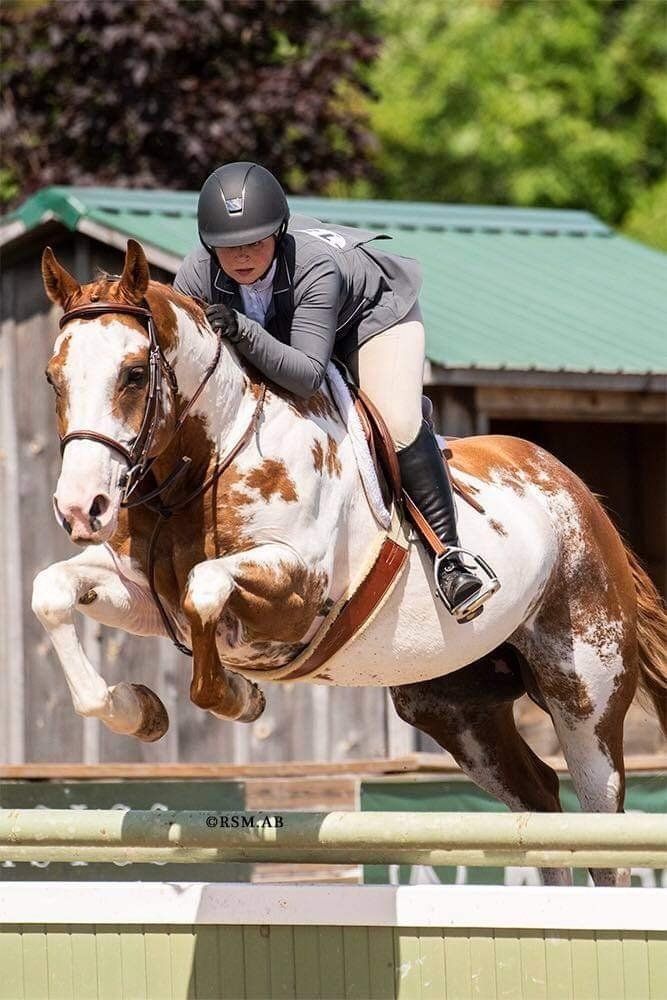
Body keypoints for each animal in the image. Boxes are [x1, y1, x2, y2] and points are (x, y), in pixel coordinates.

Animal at [34, 239, 666, 887]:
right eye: (53, 379)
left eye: (134, 374)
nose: (81, 508)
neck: (205, 461)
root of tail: (576, 493)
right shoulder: (144, 596)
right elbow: (50, 591)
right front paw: (139, 711)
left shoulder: (297, 592)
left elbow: (205, 587)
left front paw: (240, 697)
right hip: (456, 709)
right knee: (539, 803)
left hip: (585, 689)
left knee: (601, 828)